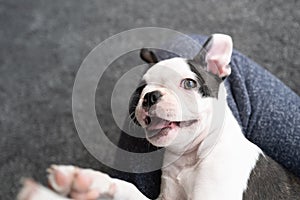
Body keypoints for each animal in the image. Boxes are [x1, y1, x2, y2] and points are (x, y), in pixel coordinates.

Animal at [18, 33, 298, 199]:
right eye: (140, 89)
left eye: (189, 83)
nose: (150, 96)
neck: (189, 159)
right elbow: (130, 189)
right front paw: (91, 182)